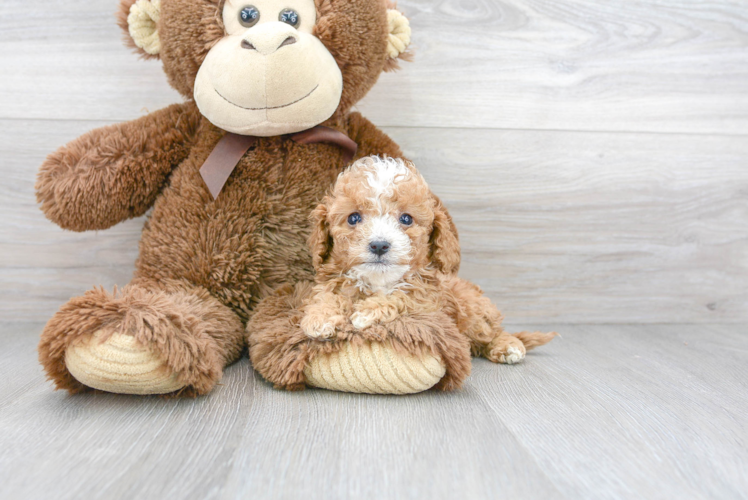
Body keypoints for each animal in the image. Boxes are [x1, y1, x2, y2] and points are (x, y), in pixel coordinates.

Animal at [300, 156, 556, 364]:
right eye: (353, 218)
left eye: (406, 219)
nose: (379, 245)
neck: (378, 282)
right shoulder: (335, 281)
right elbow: (326, 296)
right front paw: (319, 317)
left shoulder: (428, 301)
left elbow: (403, 297)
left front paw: (368, 312)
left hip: (474, 312)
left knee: (491, 332)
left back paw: (508, 346)